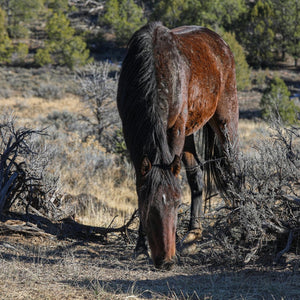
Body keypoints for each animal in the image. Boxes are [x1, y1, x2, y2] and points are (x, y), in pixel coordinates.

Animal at [117, 21, 239, 270]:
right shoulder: (130, 132)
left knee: (234, 168)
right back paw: (193, 235)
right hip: (191, 131)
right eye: (149, 207)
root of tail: (220, 42)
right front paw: (140, 248)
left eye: (176, 203)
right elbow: (141, 183)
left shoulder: (176, 129)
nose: (166, 261)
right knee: (197, 174)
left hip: (225, 119)